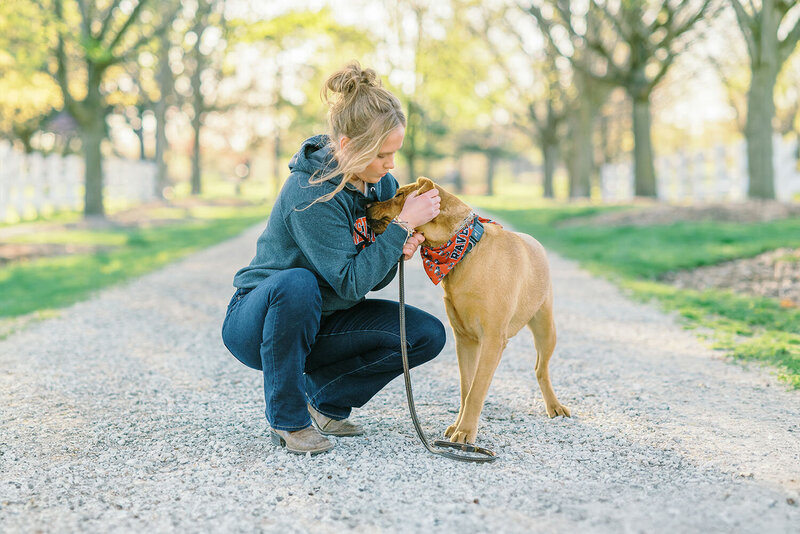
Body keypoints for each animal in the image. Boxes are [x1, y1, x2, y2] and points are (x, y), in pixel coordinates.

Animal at [368, 178, 568, 446]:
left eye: (399, 195)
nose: (366, 204)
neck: (463, 251)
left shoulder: (493, 340)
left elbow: (476, 391)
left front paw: (465, 431)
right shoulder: (464, 339)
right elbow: (467, 388)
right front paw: (458, 425)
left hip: (546, 328)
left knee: (541, 369)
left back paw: (554, 405)